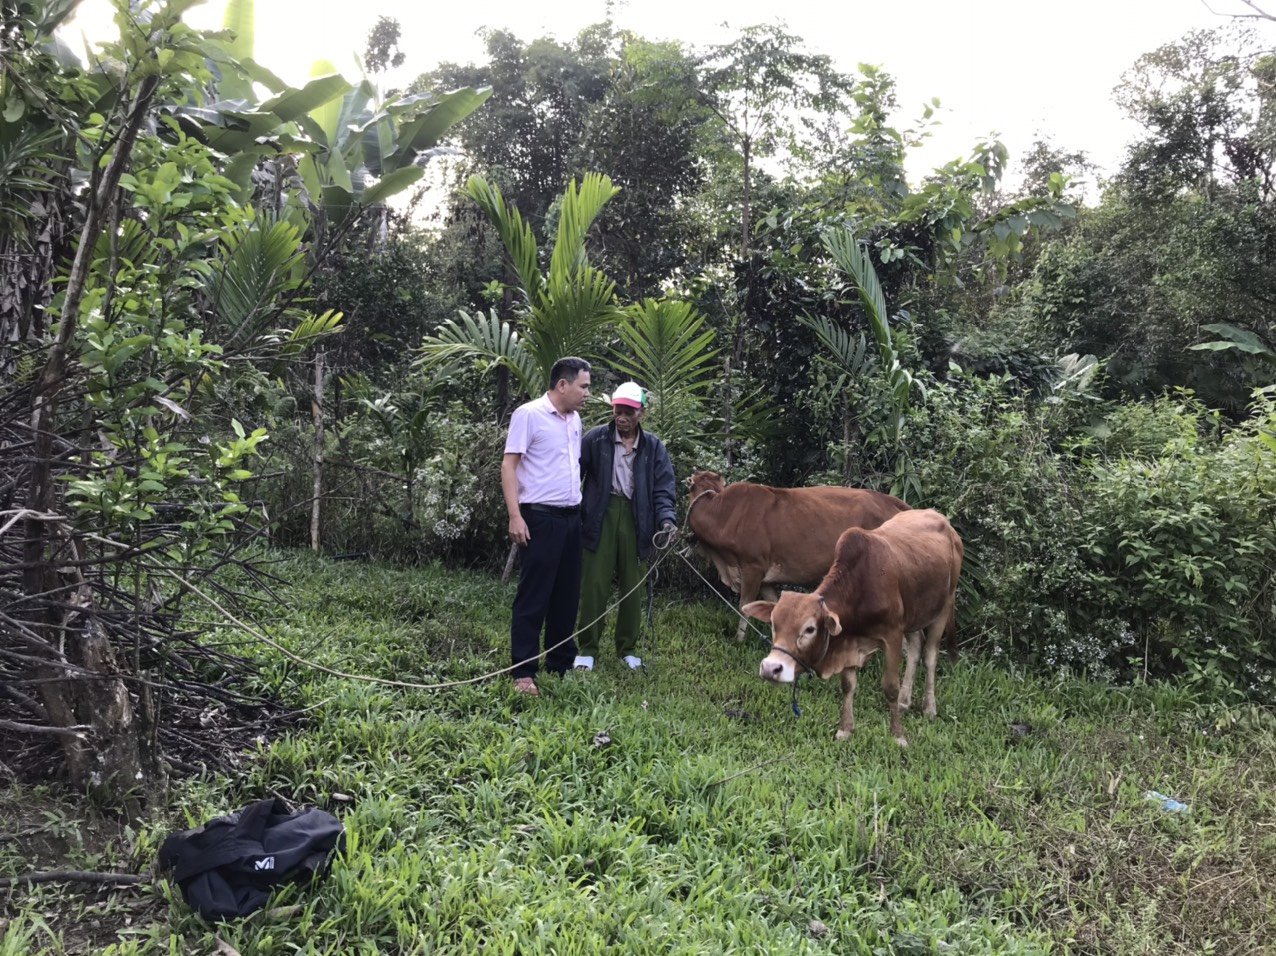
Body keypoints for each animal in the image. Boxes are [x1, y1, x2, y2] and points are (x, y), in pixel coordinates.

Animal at [745, 507, 959, 745]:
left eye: (810, 629)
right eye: (773, 624)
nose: (770, 668)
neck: (860, 589)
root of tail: (941, 519)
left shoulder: (892, 635)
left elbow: (890, 688)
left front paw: (898, 736)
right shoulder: (849, 641)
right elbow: (848, 685)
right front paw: (845, 730)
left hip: (944, 607)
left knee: (930, 656)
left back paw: (929, 708)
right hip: (914, 615)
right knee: (915, 646)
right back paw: (905, 701)